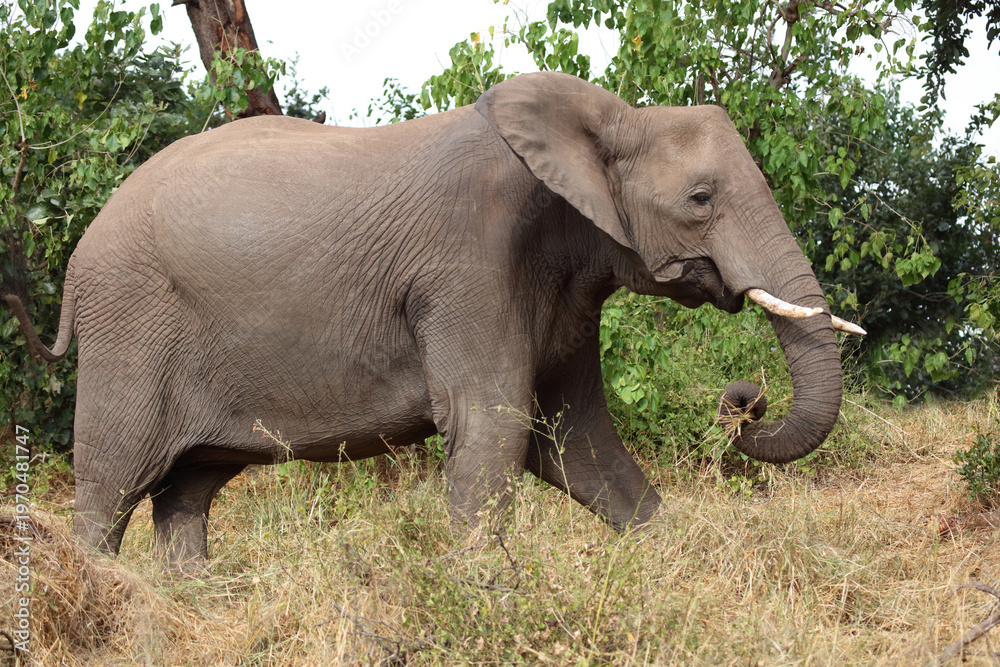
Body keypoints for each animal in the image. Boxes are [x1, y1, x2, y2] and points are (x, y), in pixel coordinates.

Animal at [4, 72, 863, 570]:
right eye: (700, 198)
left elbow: (576, 441)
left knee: (186, 492)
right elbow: (492, 426)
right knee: (113, 484)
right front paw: (484, 594)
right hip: (130, 326)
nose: (743, 401)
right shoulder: (469, 268)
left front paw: (680, 565)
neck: (606, 121)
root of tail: (77, 265)